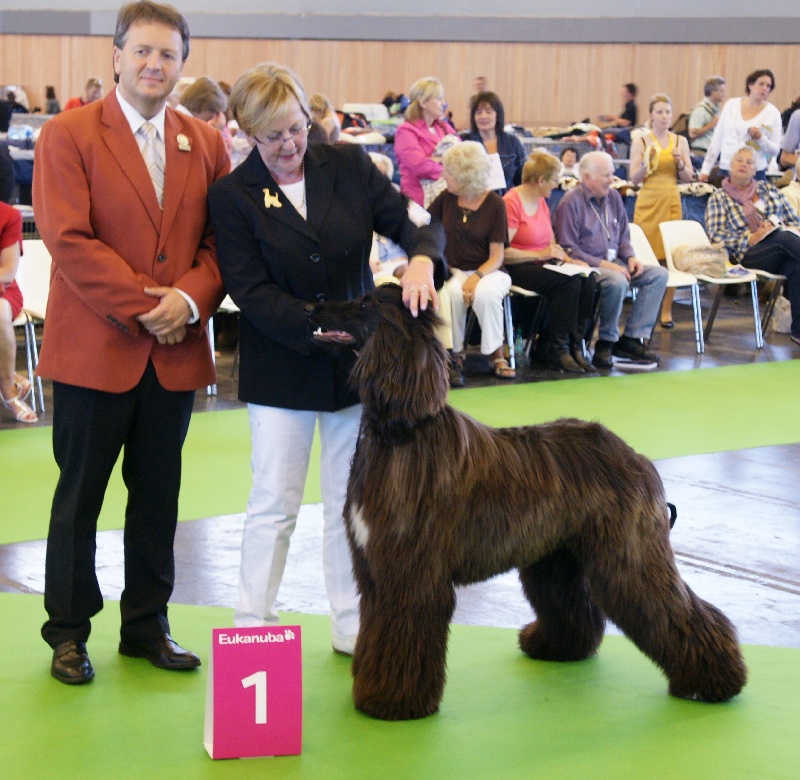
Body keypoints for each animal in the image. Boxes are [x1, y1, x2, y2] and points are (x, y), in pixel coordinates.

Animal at [310, 284, 748, 720]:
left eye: (364, 304)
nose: (313, 306)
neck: (402, 432)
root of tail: (637, 458)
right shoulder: (375, 569)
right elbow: (377, 629)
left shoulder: (411, 571)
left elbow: (403, 632)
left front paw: (393, 701)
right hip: (557, 554)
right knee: (573, 605)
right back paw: (559, 647)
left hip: (627, 552)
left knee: (674, 608)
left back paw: (713, 681)